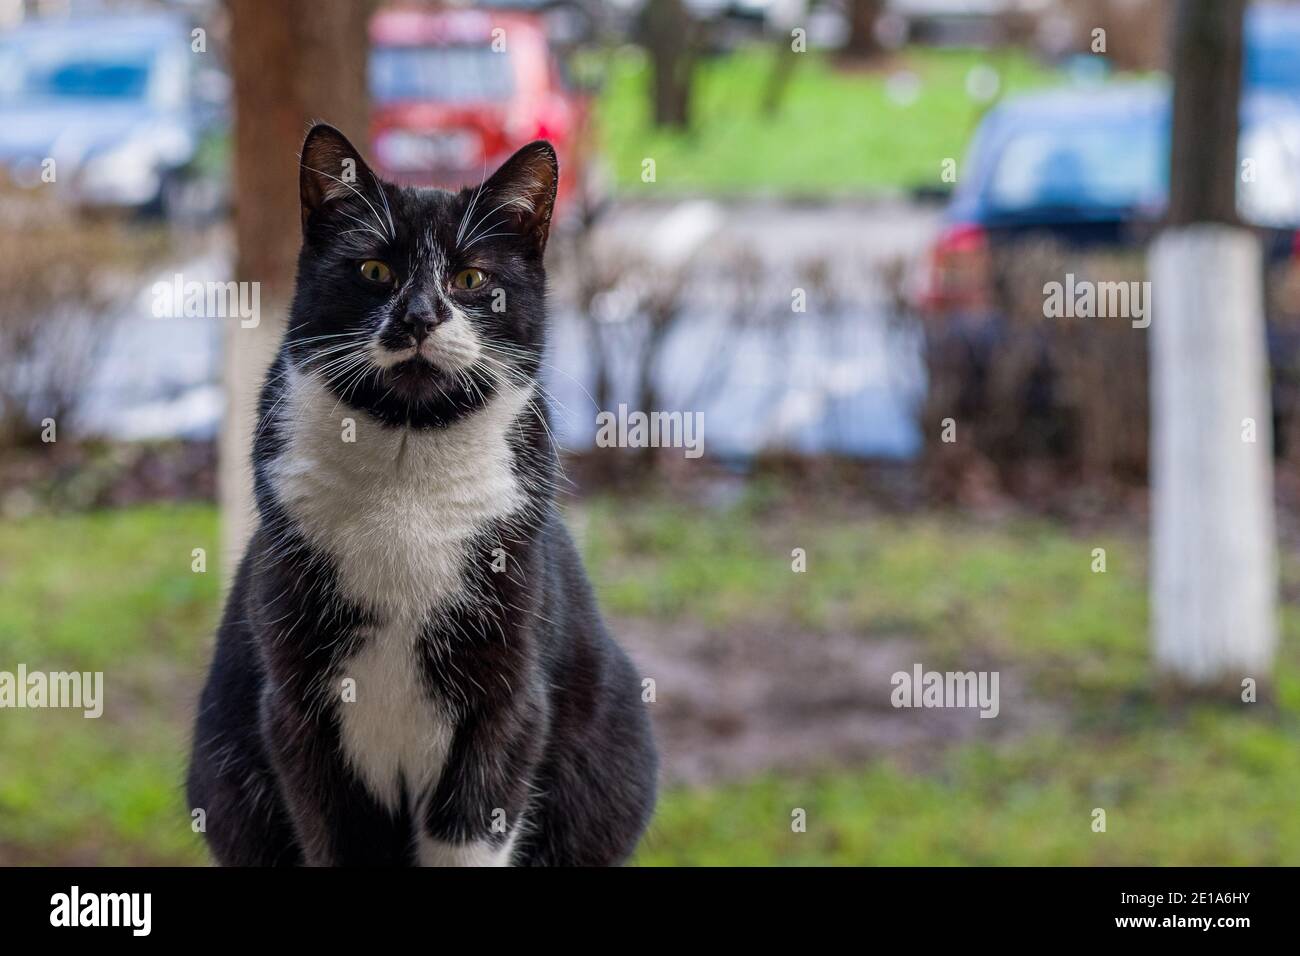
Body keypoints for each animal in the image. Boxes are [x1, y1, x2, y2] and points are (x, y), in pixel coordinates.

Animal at [185, 125, 660, 868]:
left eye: (471, 279)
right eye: (375, 271)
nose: (420, 315)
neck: (407, 471)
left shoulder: (508, 700)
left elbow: (472, 830)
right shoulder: (293, 708)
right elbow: (332, 834)